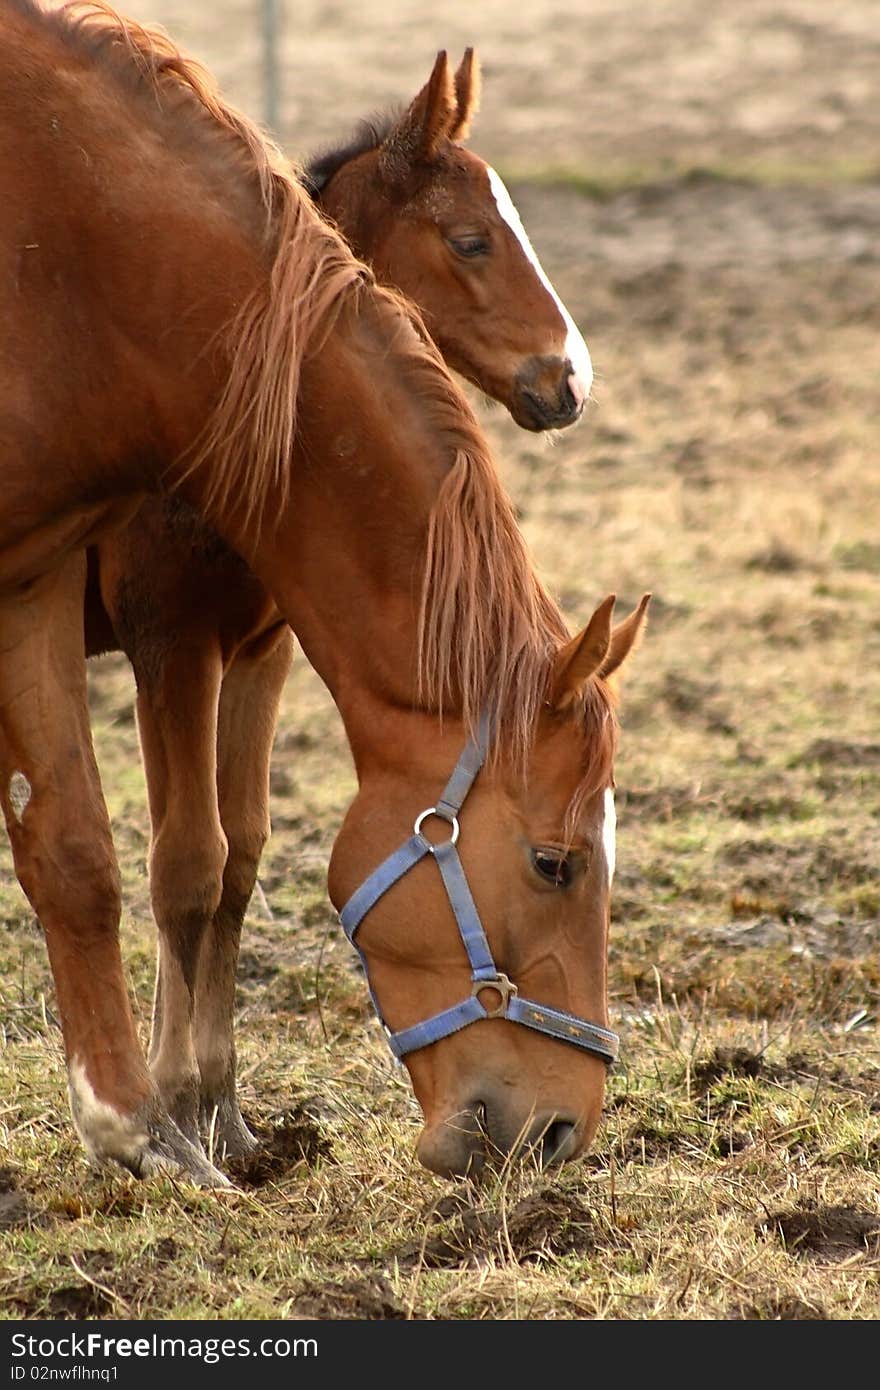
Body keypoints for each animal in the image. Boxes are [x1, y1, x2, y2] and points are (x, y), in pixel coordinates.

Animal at [0, 0, 645, 1184]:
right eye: (555, 863)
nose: (568, 377)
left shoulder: (255, 647)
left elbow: (231, 860)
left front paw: (216, 1110)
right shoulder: (172, 645)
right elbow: (179, 863)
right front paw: (168, 1114)